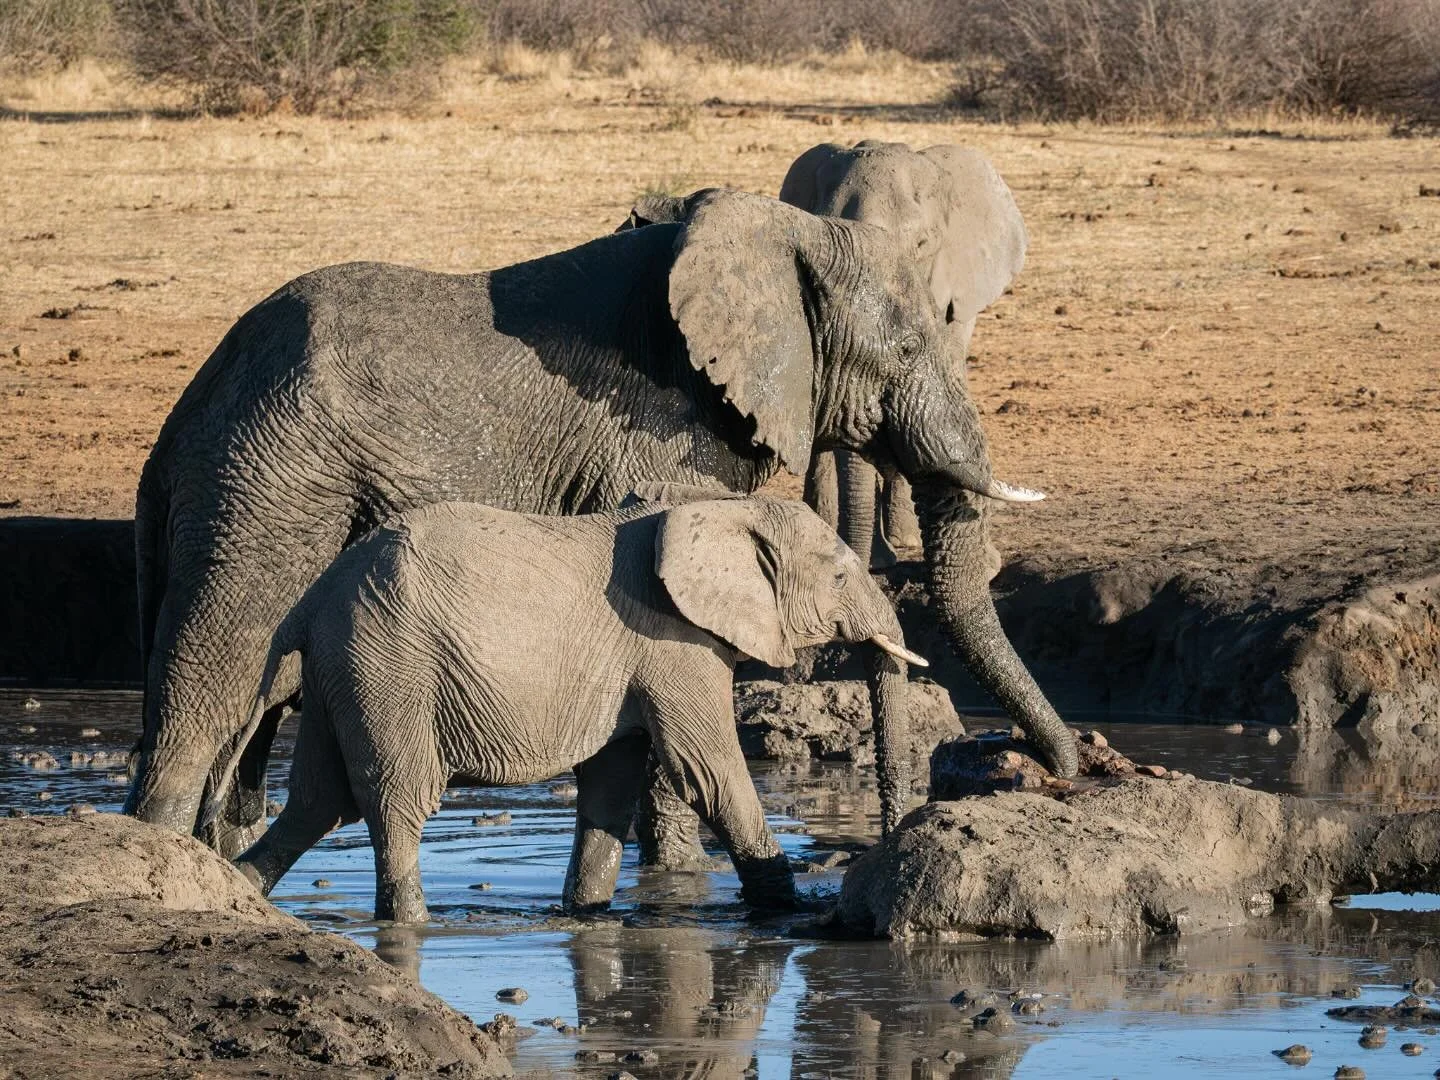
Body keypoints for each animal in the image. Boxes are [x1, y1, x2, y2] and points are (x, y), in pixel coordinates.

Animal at [128, 185, 1077, 868]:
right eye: (907, 353)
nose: (1055, 773)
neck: (780, 232)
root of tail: (185, 414)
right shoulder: (657, 436)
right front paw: (679, 881)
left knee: (245, 727)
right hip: (267, 489)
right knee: (212, 688)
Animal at [212, 495, 926, 922]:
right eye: (841, 577)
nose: (879, 840)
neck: (723, 507)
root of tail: (310, 598)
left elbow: (611, 782)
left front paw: (585, 913)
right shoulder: (674, 641)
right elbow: (707, 772)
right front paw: (786, 910)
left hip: (340, 671)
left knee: (318, 800)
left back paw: (240, 888)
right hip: (386, 663)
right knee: (394, 800)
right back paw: (412, 921)